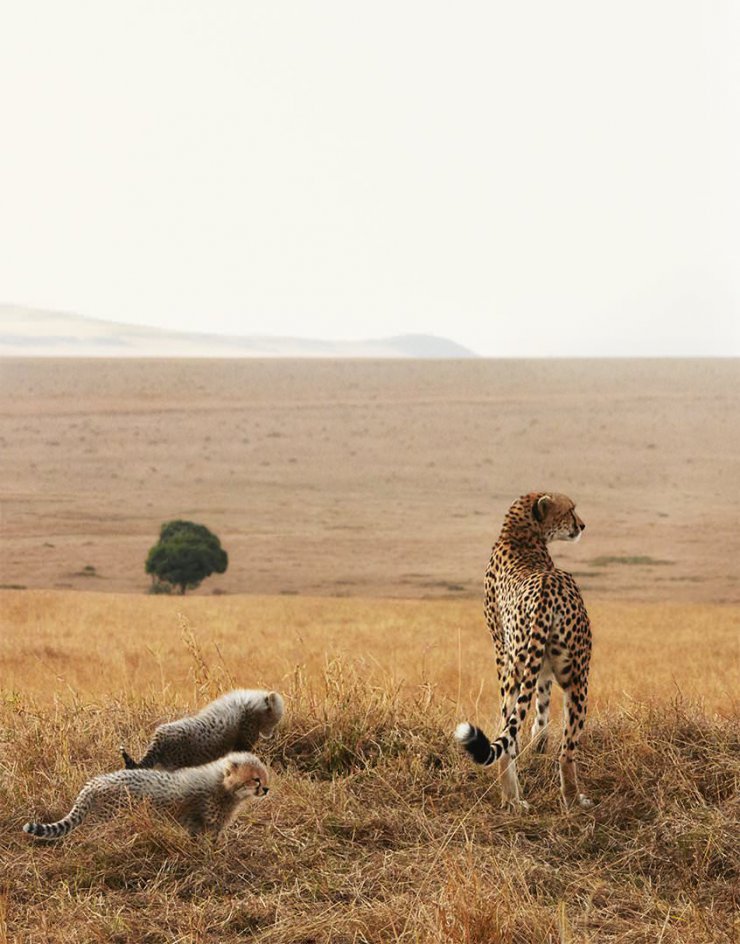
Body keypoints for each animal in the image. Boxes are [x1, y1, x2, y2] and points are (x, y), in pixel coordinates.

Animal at [454, 490, 592, 808]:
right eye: (570, 509)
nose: (581, 525)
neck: (519, 534)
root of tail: (546, 589)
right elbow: (543, 707)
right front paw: (540, 742)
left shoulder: (515, 659)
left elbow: (535, 715)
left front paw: (537, 742)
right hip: (578, 677)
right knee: (566, 751)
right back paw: (573, 800)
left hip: (514, 671)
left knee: (506, 739)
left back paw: (512, 799)